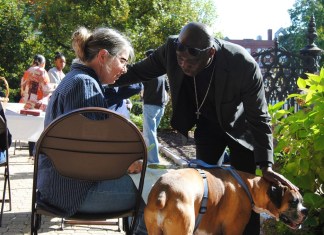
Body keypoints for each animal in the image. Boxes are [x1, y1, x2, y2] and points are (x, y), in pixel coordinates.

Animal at [145, 168, 308, 234]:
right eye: (294, 202)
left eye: (301, 201)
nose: (305, 211)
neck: (250, 186)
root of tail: (164, 191)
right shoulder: (233, 230)